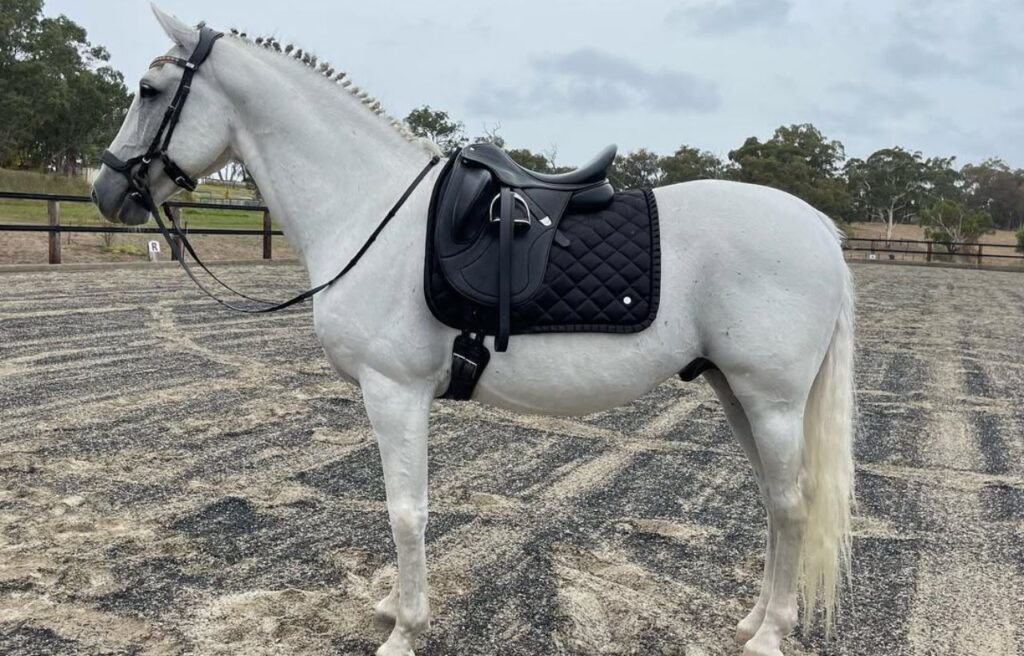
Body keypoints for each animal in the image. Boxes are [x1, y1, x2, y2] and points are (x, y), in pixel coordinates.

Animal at [91, 7, 855, 656]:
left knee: (791, 506)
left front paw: (406, 629)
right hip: (734, 392)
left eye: (150, 90)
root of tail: (818, 227)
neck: (370, 210)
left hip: (771, 400)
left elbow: (406, 512)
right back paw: (754, 619)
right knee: (773, 503)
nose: (107, 192)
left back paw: (768, 635)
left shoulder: (394, 393)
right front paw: (396, 611)